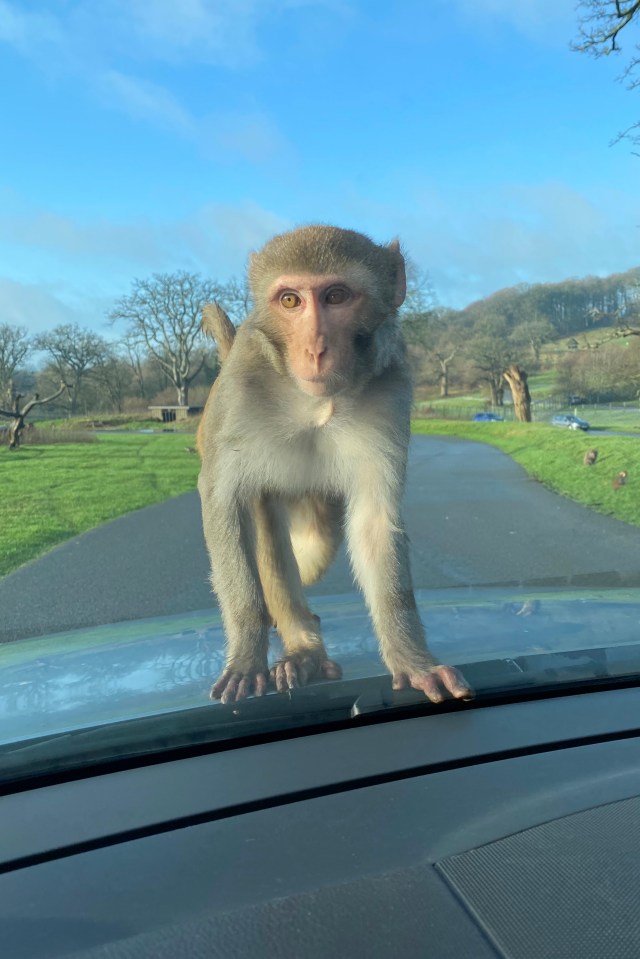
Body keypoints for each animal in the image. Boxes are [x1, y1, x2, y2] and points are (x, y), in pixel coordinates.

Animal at [198, 223, 472, 704]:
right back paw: (300, 647)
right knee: (265, 522)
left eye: (337, 296)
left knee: (318, 536)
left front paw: (413, 661)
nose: (316, 349)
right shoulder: (237, 392)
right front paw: (247, 658)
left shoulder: (392, 386)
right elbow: (223, 503)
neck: (312, 403)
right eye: (290, 300)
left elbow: (374, 523)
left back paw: (304, 648)